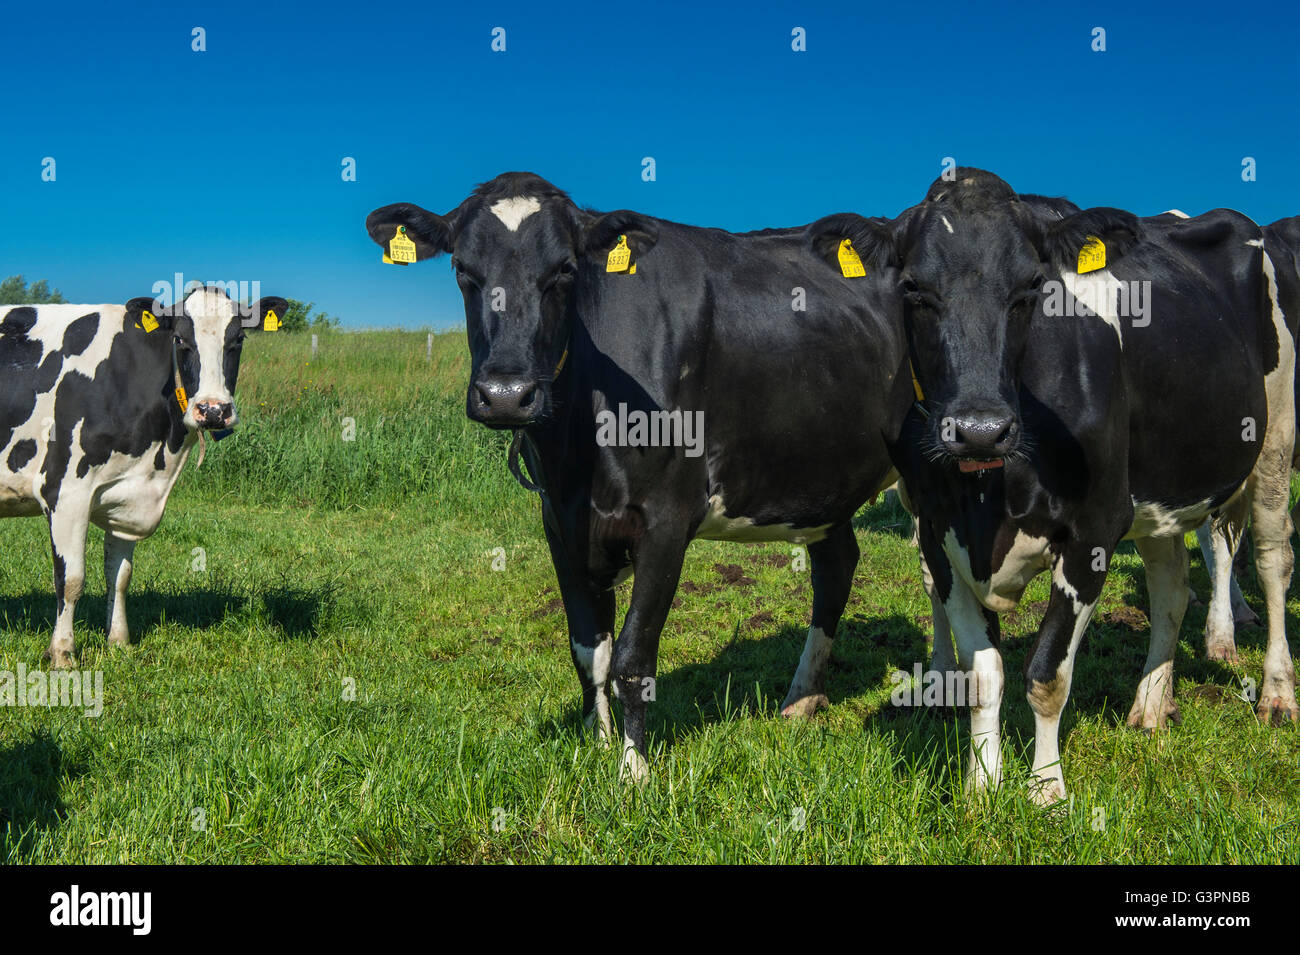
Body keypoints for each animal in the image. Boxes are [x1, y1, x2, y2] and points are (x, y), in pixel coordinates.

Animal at [0, 287, 286, 670]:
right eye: (180, 339)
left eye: (238, 339)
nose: (213, 410)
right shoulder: (64, 487)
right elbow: (70, 579)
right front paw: (62, 653)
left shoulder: (126, 494)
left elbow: (119, 576)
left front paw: (119, 642)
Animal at [366, 175, 915, 779]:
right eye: (463, 269)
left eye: (565, 269)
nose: (506, 394)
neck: (578, 454)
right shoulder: (561, 523)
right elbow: (588, 649)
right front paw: (596, 741)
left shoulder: (666, 520)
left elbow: (633, 656)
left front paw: (634, 771)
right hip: (818, 478)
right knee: (836, 565)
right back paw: (802, 697)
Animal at [811, 167, 1300, 805]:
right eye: (913, 288)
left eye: (1031, 288)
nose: (979, 429)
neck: (989, 495)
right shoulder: (938, 530)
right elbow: (982, 673)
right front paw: (982, 788)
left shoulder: (1093, 529)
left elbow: (1047, 676)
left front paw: (1046, 793)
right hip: (1154, 497)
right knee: (1171, 588)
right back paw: (1151, 706)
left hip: (1273, 444)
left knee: (1270, 562)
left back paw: (1277, 694)